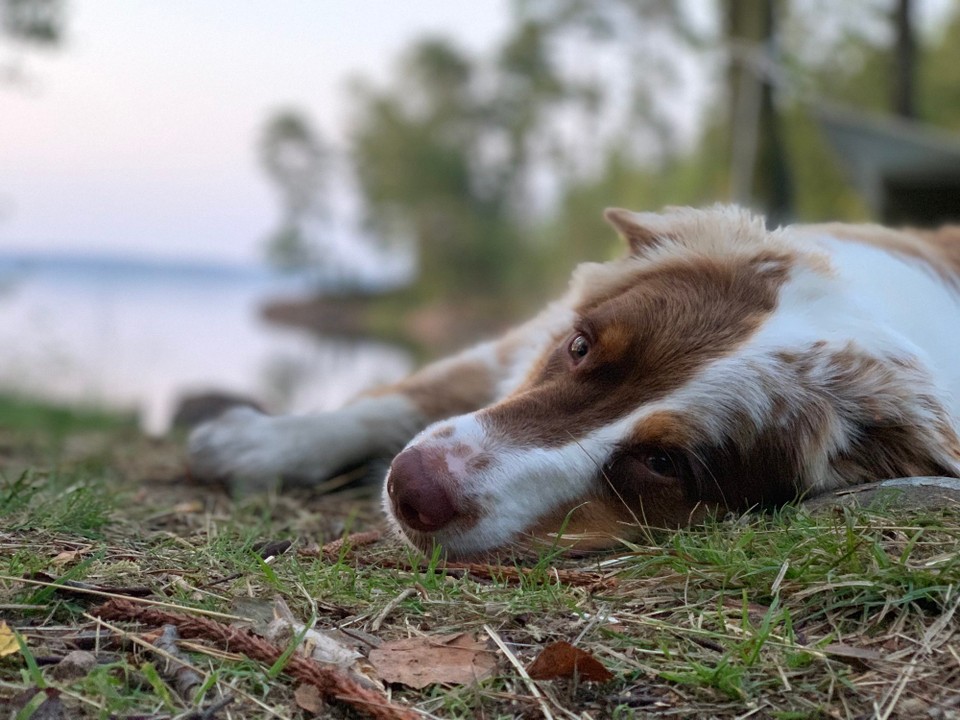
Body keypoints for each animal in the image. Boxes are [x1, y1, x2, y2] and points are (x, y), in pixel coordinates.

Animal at [188, 205, 960, 560]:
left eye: (663, 463)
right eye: (580, 346)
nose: (413, 488)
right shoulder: (517, 345)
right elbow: (398, 399)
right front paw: (262, 442)